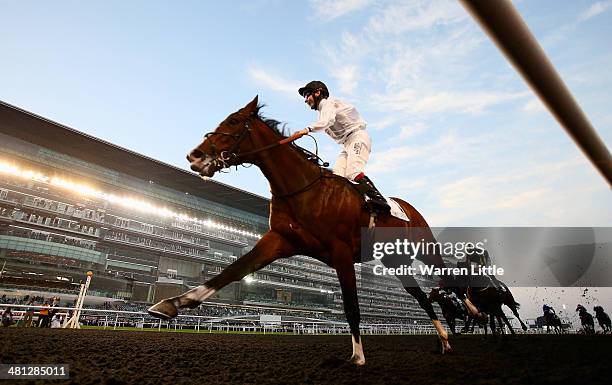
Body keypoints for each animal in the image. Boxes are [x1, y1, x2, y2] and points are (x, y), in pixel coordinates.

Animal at [148, 96, 454, 364]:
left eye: (233, 121)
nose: (195, 155)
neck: (304, 189)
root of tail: (409, 209)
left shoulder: (342, 252)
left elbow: (351, 306)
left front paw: (357, 356)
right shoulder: (280, 240)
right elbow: (231, 271)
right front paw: (172, 303)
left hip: (425, 250)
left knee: (446, 278)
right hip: (394, 259)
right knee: (422, 297)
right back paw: (444, 340)